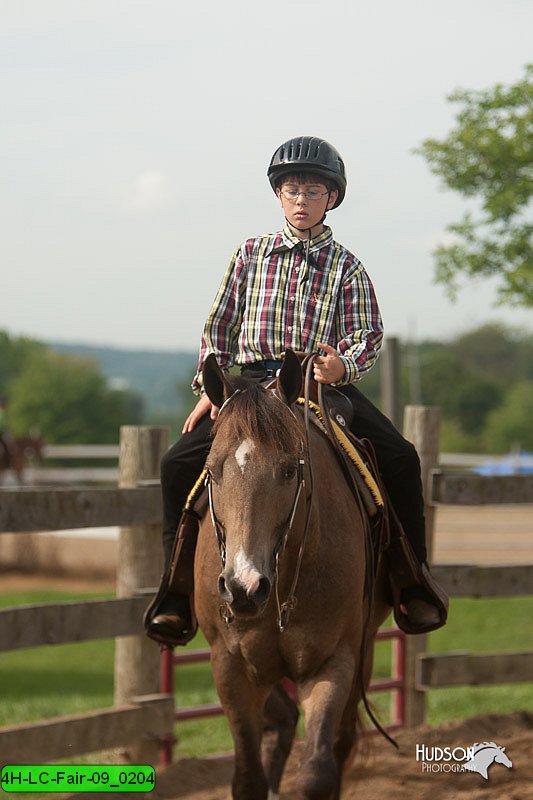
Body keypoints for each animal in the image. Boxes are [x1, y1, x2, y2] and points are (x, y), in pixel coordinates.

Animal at [193, 352, 388, 800]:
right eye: (212, 470)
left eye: (288, 471)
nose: (243, 587)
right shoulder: (229, 666)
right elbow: (248, 777)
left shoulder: (334, 660)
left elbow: (317, 771)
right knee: (280, 723)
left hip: (364, 650)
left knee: (340, 739)